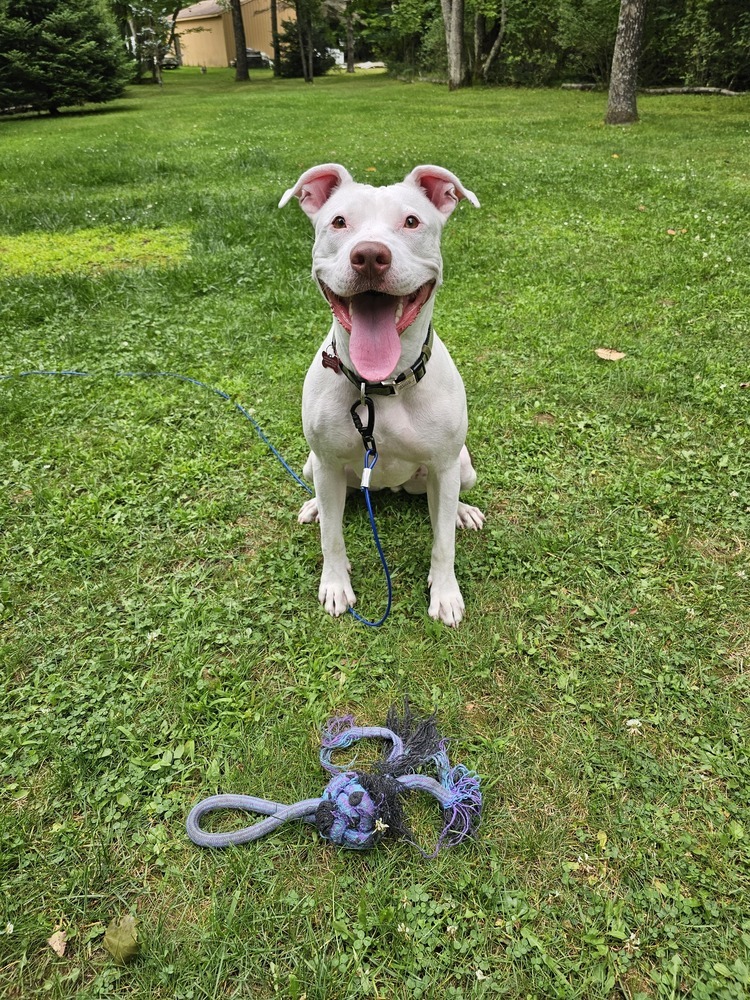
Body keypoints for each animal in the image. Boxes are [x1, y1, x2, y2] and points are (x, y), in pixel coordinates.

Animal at [280, 164, 484, 624]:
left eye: (411, 221)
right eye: (339, 222)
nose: (370, 255)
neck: (381, 384)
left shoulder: (445, 465)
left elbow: (443, 544)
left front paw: (445, 594)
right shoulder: (326, 462)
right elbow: (332, 537)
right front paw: (335, 585)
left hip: (463, 467)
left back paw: (462, 513)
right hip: (311, 465)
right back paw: (316, 507)